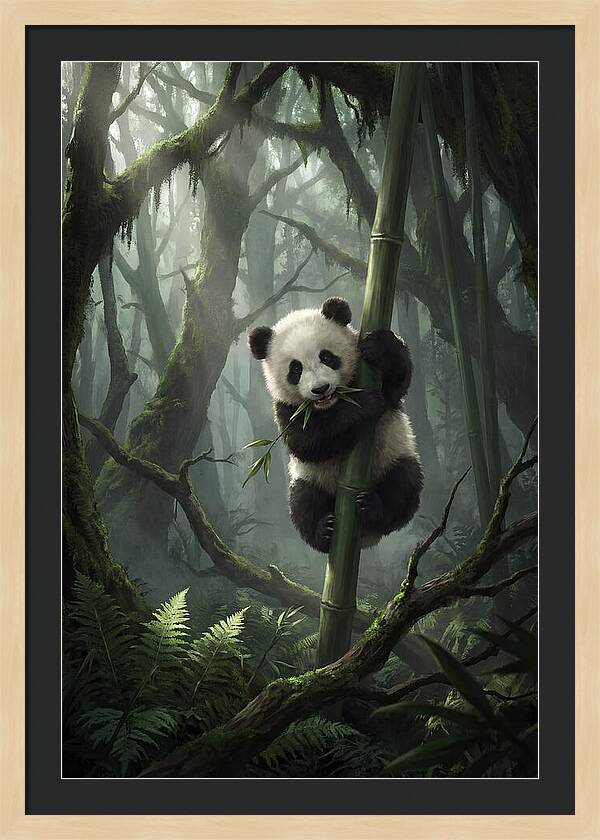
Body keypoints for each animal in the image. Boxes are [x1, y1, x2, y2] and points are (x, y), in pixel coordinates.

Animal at [248, 296, 423, 553]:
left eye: (327, 357)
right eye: (295, 368)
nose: (320, 389)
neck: (332, 404)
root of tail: (366, 538)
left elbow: (397, 384)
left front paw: (380, 347)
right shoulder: (286, 408)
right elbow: (307, 441)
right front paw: (365, 403)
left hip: (393, 456)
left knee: (403, 484)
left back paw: (373, 509)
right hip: (310, 479)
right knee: (303, 502)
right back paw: (325, 531)